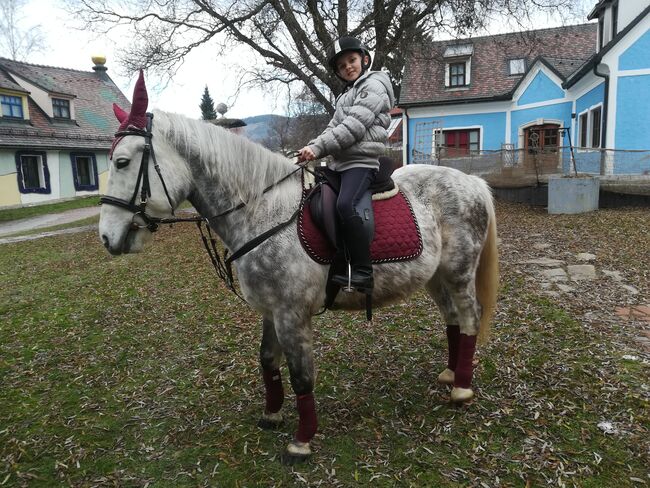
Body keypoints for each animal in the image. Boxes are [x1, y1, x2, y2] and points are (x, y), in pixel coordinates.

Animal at [98, 70, 498, 464]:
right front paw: (272, 414)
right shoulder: (270, 309)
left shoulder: (292, 313)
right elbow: (267, 361)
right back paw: (450, 374)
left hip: (459, 272)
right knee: (453, 319)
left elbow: (300, 375)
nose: (107, 237)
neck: (261, 210)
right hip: (435, 276)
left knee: (469, 317)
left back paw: (462, 389)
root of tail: (472, 182)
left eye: (122, 162)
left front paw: (302, 441)